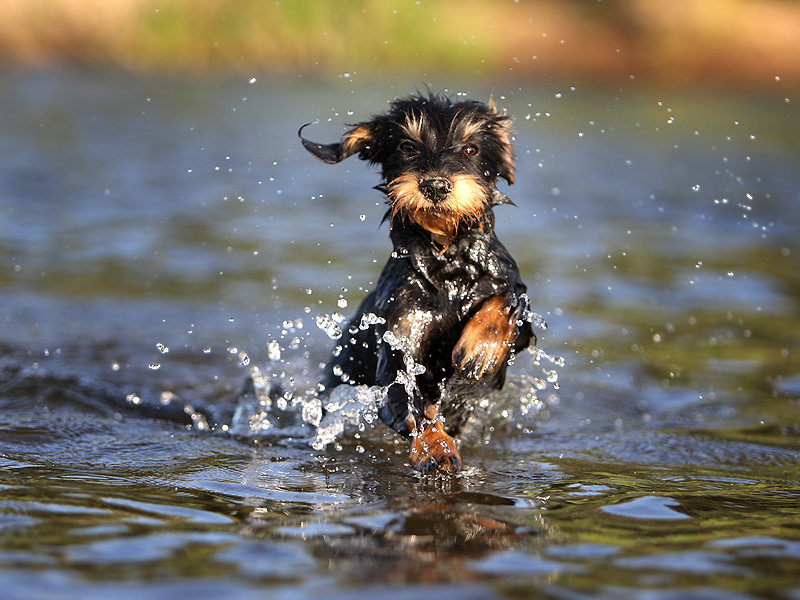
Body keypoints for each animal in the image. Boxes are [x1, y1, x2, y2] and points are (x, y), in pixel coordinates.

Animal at [300, 92, 536, 474]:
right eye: (407, 145)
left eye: (471, 149)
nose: (435, 186)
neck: (446, 262)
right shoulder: (399, 341)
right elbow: (414, 405)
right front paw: (436, 449)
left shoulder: (513, 298)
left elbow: (510, 300)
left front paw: (480, 348)